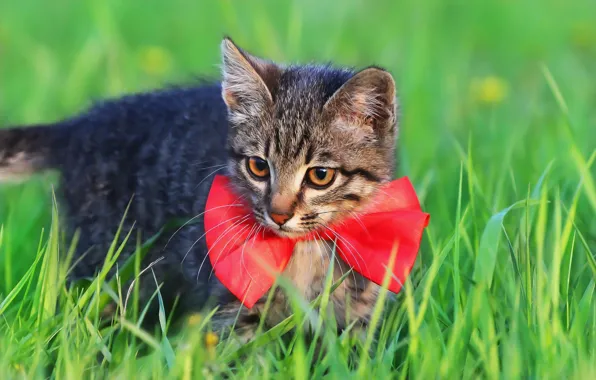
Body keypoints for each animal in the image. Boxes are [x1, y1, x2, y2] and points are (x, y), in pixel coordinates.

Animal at [2, 37, 400, 342]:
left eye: (320, 176)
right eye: (258, 167)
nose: (278, 214)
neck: (303, 251)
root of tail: (80, 126)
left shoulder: (357, 321)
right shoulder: (232, 307)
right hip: (100, 261)